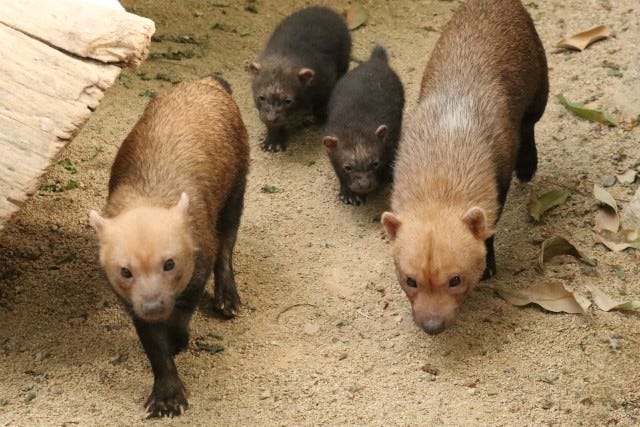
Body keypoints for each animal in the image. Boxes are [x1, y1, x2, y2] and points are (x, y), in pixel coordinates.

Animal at [89, 77, 249, 418]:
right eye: (125, 271)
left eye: (170, 263)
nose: (152, 305)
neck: (150, 194)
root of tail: (207, 81)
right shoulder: (130, 302)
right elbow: (153, 345)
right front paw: (167, 396)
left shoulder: (198, 269)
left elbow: (182, 315)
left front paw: (178, 341)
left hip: (237, 190)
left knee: (227, 244)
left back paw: (228, 298)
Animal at [249, 6, 350, 152]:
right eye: (261, 97)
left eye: (288, 100)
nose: (271, 118)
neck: (286, 54)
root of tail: (324, 8)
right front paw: (273, 141)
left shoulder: (326, 83)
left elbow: (322, 106)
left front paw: (315, 118)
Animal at [324, 46, 404, 206]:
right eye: (347, 167)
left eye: (375, 163)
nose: (364, 184)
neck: (355, 125)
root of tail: (375, 60)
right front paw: (349, 194)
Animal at [382, 0, 548, 334]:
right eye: (410, 280)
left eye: (455, 279)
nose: (432, 325)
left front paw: (490, 267)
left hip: (540, 87)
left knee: (530, 125)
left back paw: (528, 165)